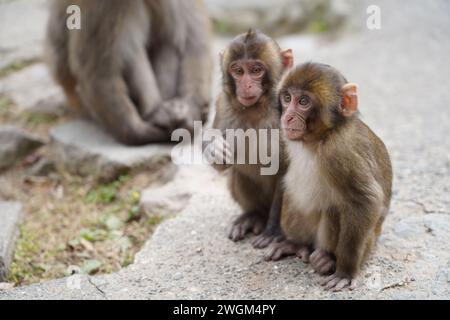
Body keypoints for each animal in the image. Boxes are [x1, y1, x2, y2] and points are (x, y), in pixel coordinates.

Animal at [211, 30, 296, 249]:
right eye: (238, 71)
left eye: (256, 70)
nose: (246, 85)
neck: (257, 107)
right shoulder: (222, 102)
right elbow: (221, 164)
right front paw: (214, 148)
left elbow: (286, 171)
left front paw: (274, 231)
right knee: (239, 173)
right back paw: (253, 216)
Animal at [268, 63, 390, 292]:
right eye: (287, 98)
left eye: (303, 102)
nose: (287, 117)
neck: (318, 139)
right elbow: (280, 179)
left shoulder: (340, 153)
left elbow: (365, 200)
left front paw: (345, 272)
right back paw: (296, 244)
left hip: (369, 244)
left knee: (335, 207)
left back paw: (328, 259)